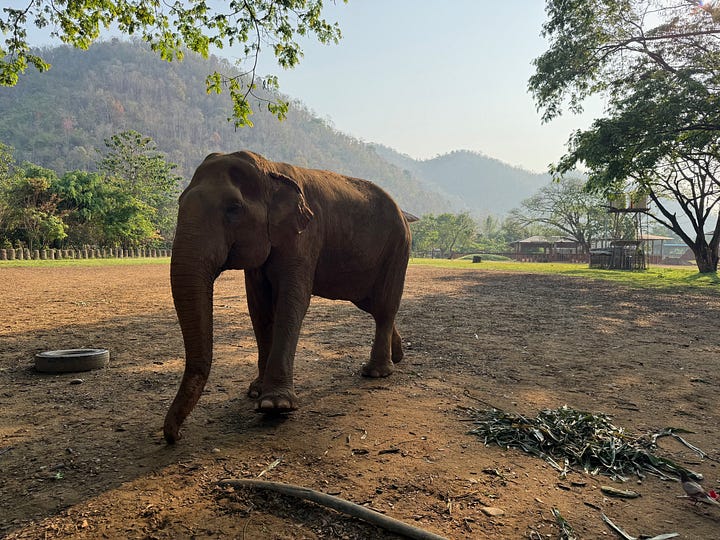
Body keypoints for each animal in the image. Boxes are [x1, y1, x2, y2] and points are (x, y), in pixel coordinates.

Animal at [163, 151, 413, 443]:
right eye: (180, 202)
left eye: (233, 208)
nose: (176, 436)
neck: (270, 170)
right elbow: (258, 308)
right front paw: (256, 391)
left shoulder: (305, 236)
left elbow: (291, 300)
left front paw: (275, 406)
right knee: (371, 304)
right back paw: (397, 356)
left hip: (398, 248)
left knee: (384, 306)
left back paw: (376, 373)